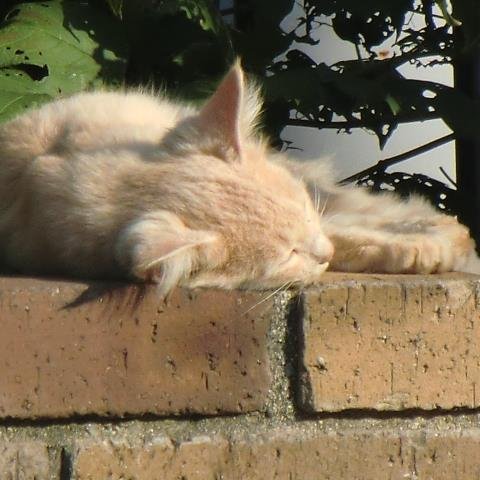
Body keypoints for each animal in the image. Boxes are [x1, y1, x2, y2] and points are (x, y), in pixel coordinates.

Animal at [0, 60, 476, 296]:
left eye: (305, 212)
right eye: (287, 256)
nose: (320, 250)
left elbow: (347, 228)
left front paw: (422, 243)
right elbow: (345, 239)